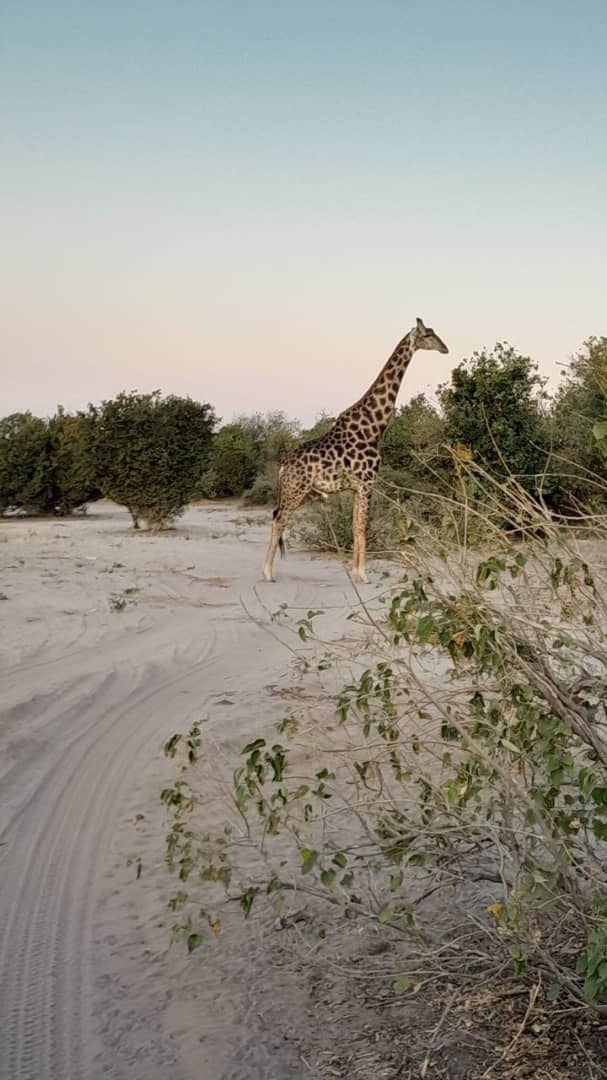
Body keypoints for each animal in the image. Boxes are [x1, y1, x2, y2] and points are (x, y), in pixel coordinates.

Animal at [262, 318, 448, 583]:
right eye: (428, 335)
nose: (445, 348)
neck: (374, 426)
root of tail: (283, 466)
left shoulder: (356, 487)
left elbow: (354, 526)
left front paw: (354, 572)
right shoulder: (367, 482)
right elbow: (363, 526)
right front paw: (364, 575)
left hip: (295, 490)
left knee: (276, 517)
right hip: (296, 489)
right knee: (279, 519)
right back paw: (268, 573)